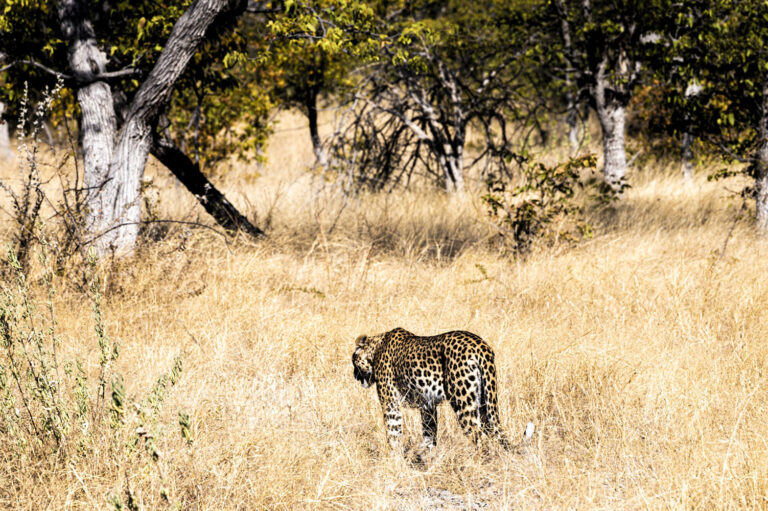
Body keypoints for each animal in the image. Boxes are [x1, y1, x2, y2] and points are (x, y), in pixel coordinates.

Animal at [352, 327, 519, 450]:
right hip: (485, 401)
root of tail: (481, 346)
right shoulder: (428, 405)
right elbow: (429, 433)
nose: (354, 375)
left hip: (463, 402)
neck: (376, 349)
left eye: (353, 361)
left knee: (477, 439)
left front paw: (394, 461)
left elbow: (393, 434)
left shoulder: (390, 404)